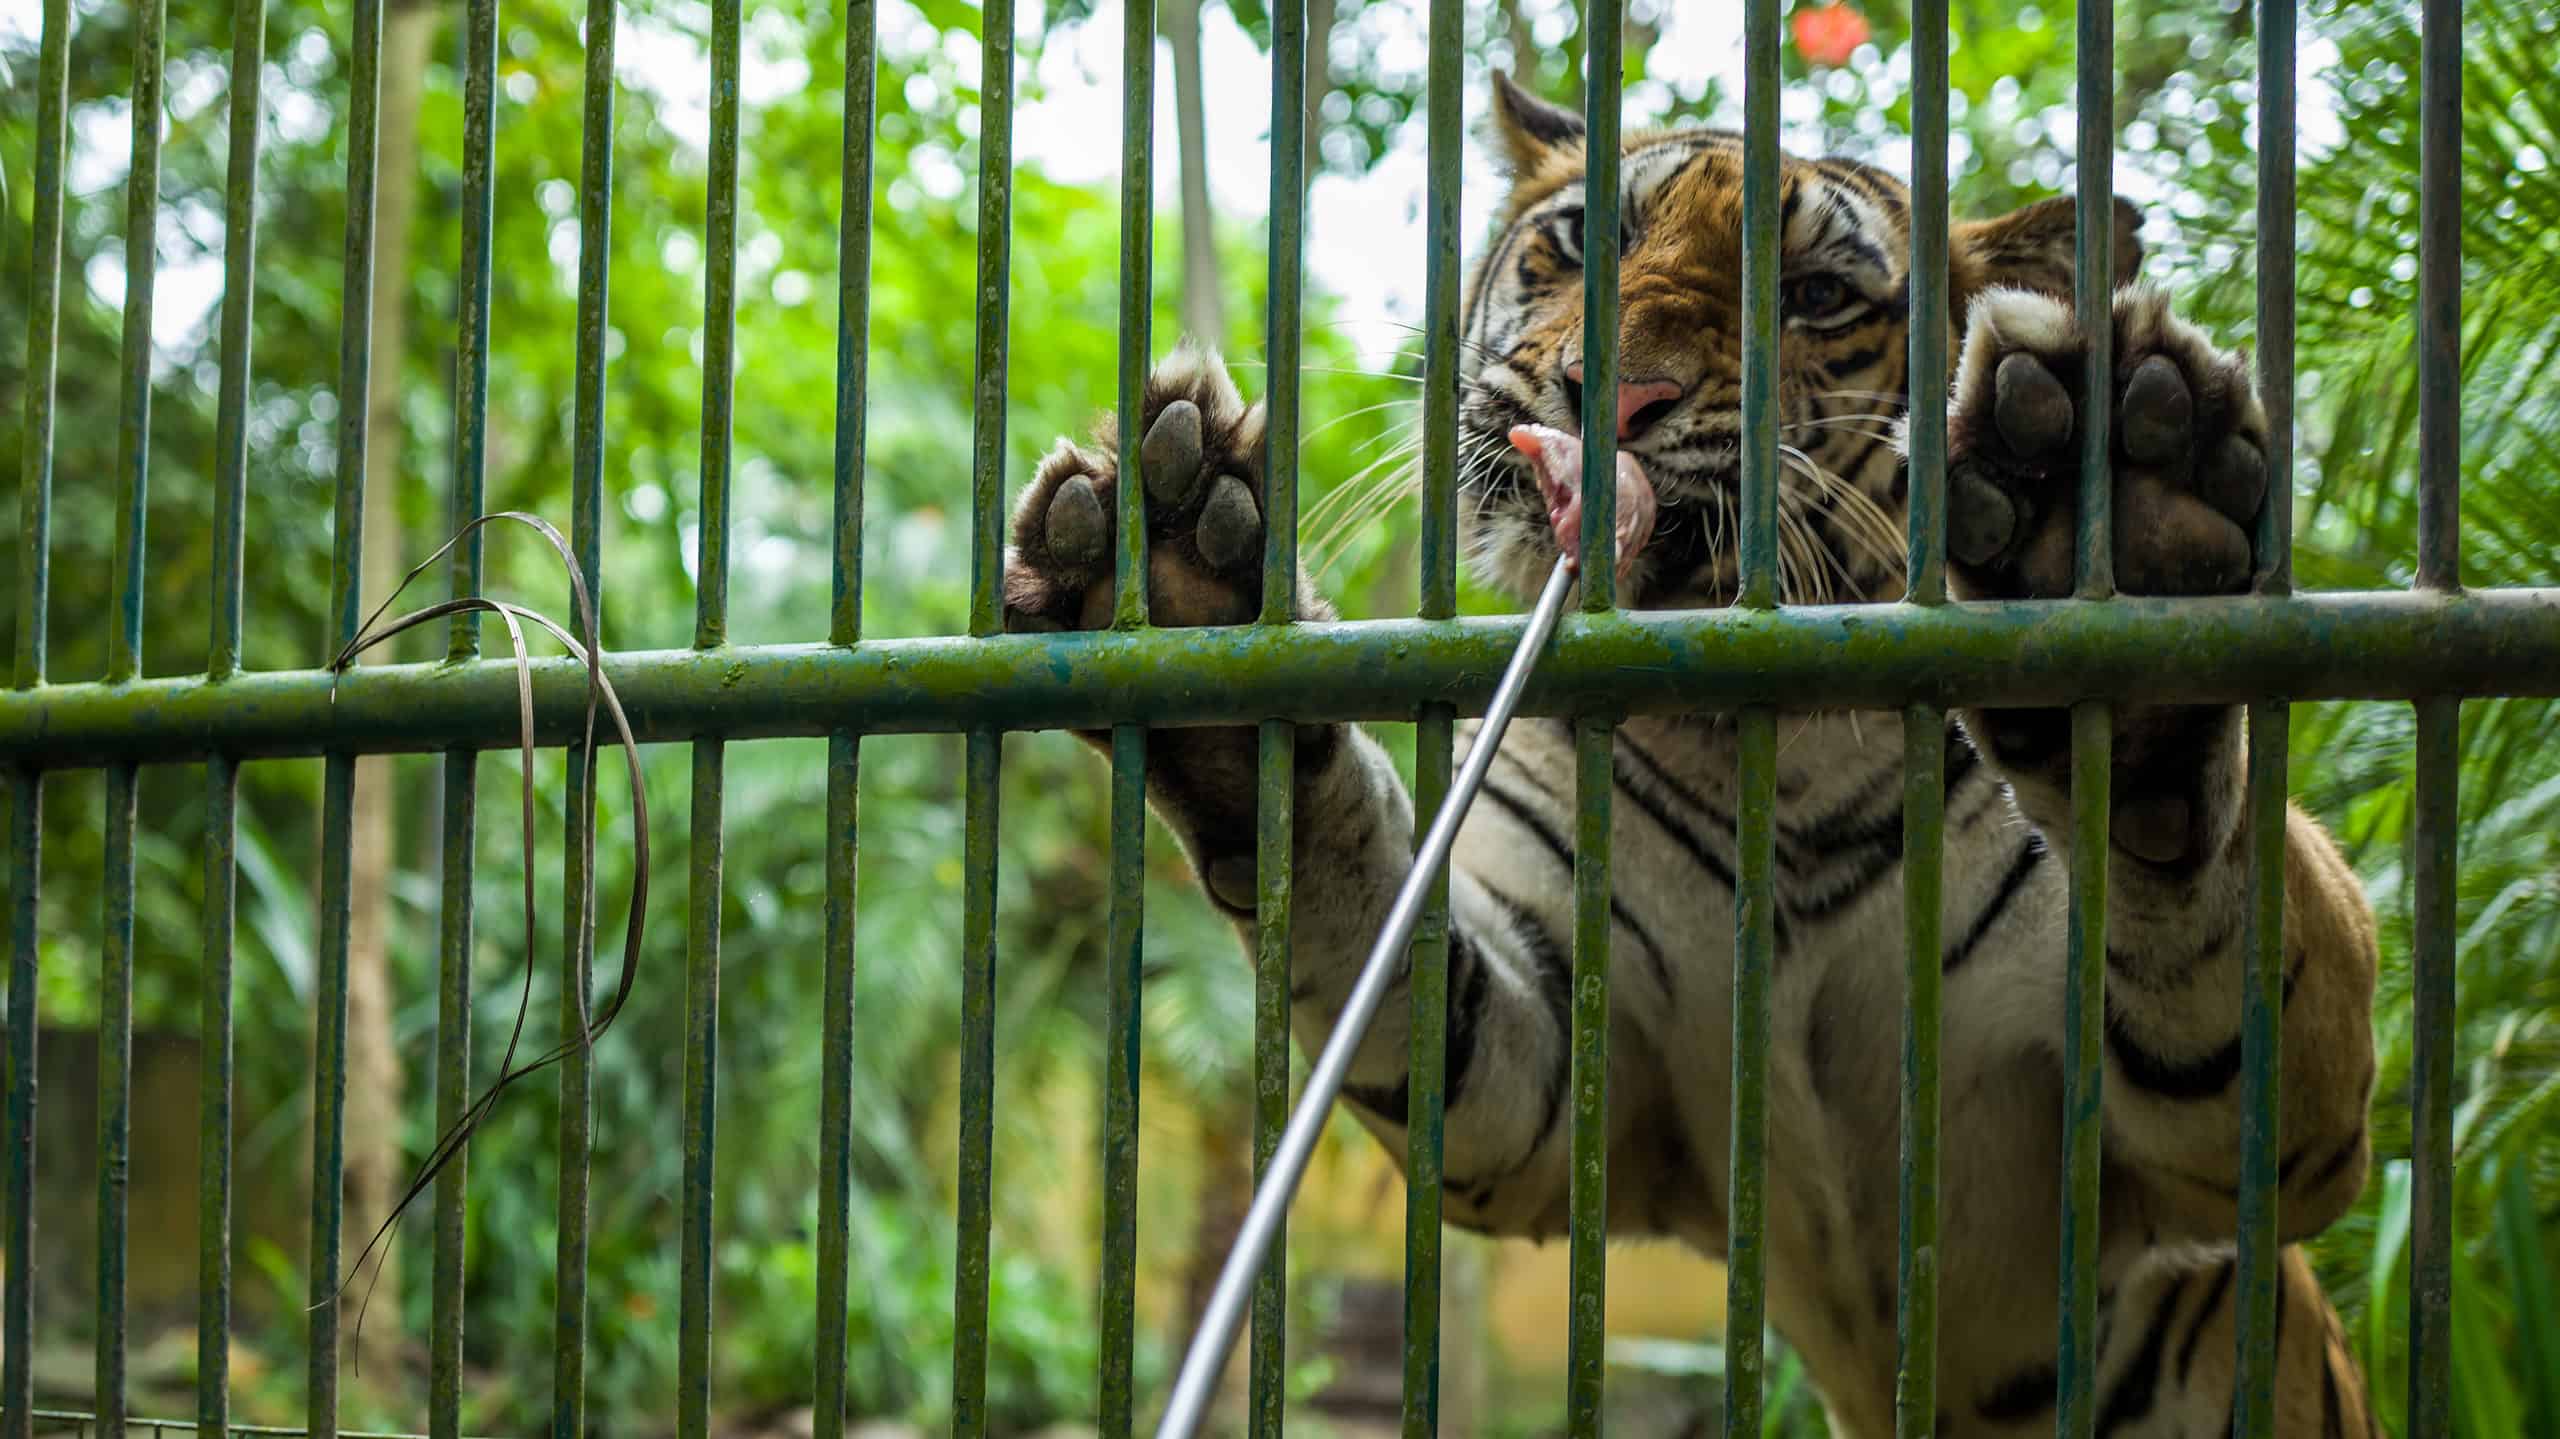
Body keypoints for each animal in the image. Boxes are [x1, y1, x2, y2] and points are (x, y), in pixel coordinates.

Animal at [998, 73, 2382, 1438]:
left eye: (1814, 295)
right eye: (1581, 240)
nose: (1609, 397)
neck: (1766, 760)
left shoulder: (2219, 1143)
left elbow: (2218, 910)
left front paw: (2143, 565)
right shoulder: (1546, 1081)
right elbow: (1374, 921)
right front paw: (1192, 598)